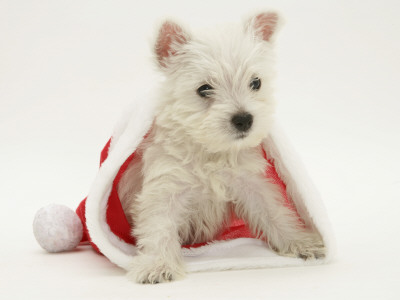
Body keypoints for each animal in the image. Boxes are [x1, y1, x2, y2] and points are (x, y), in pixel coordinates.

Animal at [118, 11, 324, 284]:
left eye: (256, 82)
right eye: (204, 89)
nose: (244, 119)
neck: (210, 151)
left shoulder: (251, 183)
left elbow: (274, 212)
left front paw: (301, 242)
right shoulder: (165, 187)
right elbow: (159, 226)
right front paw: (157, 265)